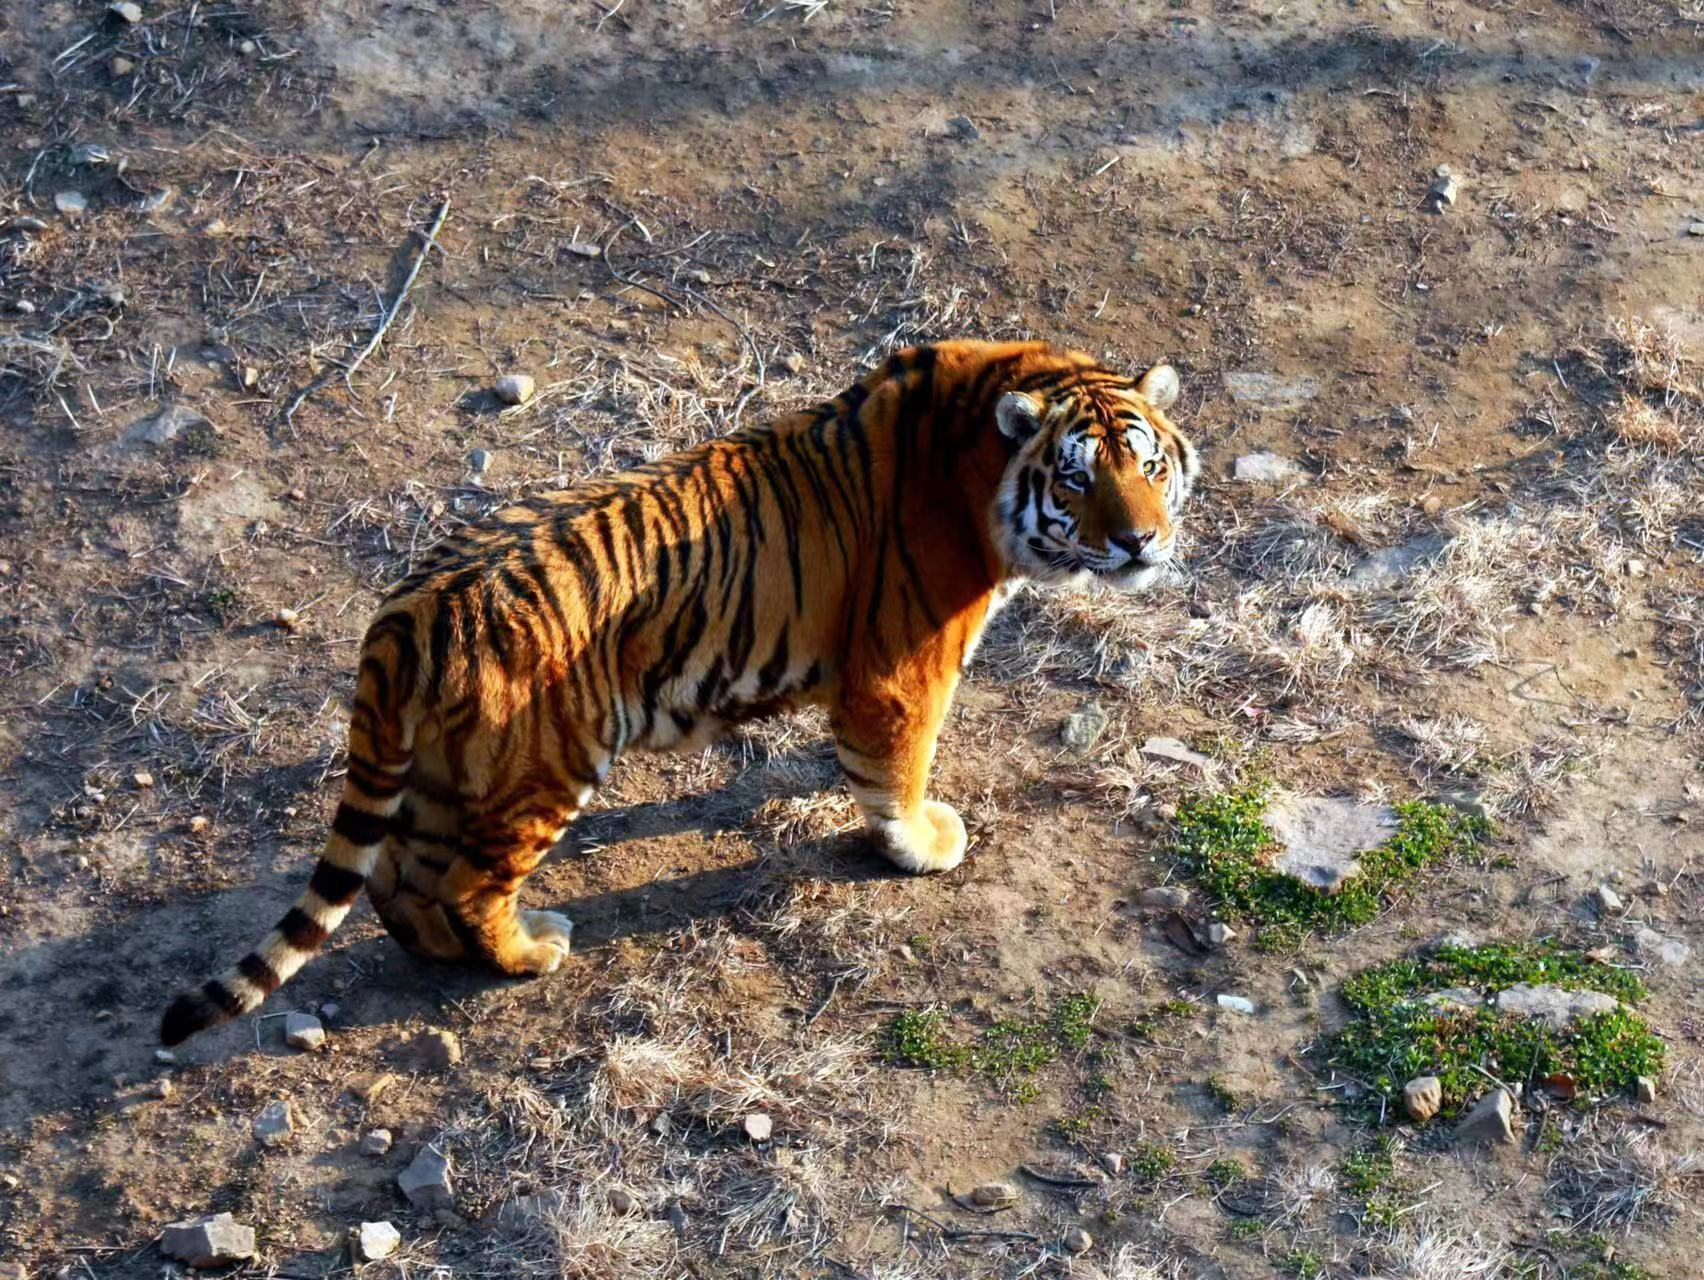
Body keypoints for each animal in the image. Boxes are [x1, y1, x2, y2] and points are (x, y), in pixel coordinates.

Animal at [160, 337, 1199, 1043]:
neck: (981, 453)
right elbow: (898, 767)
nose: (1141, 541)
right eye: (1078, 480)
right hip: (547, 764)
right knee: (464, 883)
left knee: (395, 877)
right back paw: (528, 951)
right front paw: (920, 844)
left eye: (1148, 466)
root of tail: (408, 612)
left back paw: (444, 954)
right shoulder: (903, 671)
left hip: (449, 770)